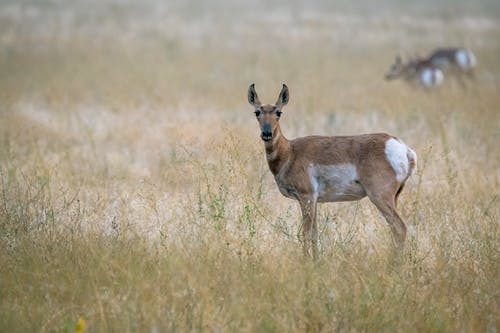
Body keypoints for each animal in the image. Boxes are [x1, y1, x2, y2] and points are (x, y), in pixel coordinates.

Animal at [248, 83, 416, 256]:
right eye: (257, 112)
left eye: (278, 112)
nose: (266, 133)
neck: (290, 152)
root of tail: (403, 148)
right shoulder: (313, 200)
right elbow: (314, 234)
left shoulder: (306, 197)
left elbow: (306, 233)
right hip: (393, 198)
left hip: (380, 196)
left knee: (400, 228)